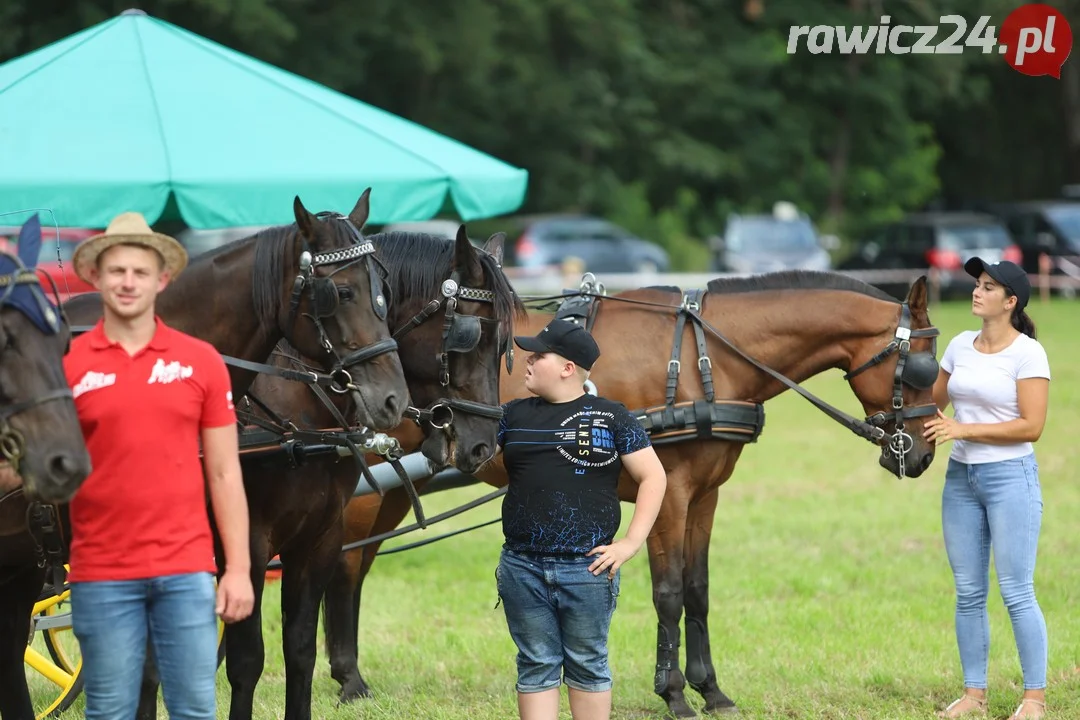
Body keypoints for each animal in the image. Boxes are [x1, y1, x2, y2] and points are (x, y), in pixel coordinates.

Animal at [128, 225, 524, 720]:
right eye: (470, 337)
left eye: (507, 346)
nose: (483, 444)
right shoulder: (249, 542)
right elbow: (246, 659)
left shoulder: (320, 534)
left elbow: (299, 648)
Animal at [317, 273, 937, 716]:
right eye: (924, 370)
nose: (922, 455)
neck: (706, 358)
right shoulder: (669, 491)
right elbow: (668, 593)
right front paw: (675, 693)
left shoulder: (705, 495)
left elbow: (698, 590)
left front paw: (712, 691)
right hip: (368, 487)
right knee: (343, 571)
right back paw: (349, 680)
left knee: (354, 566)